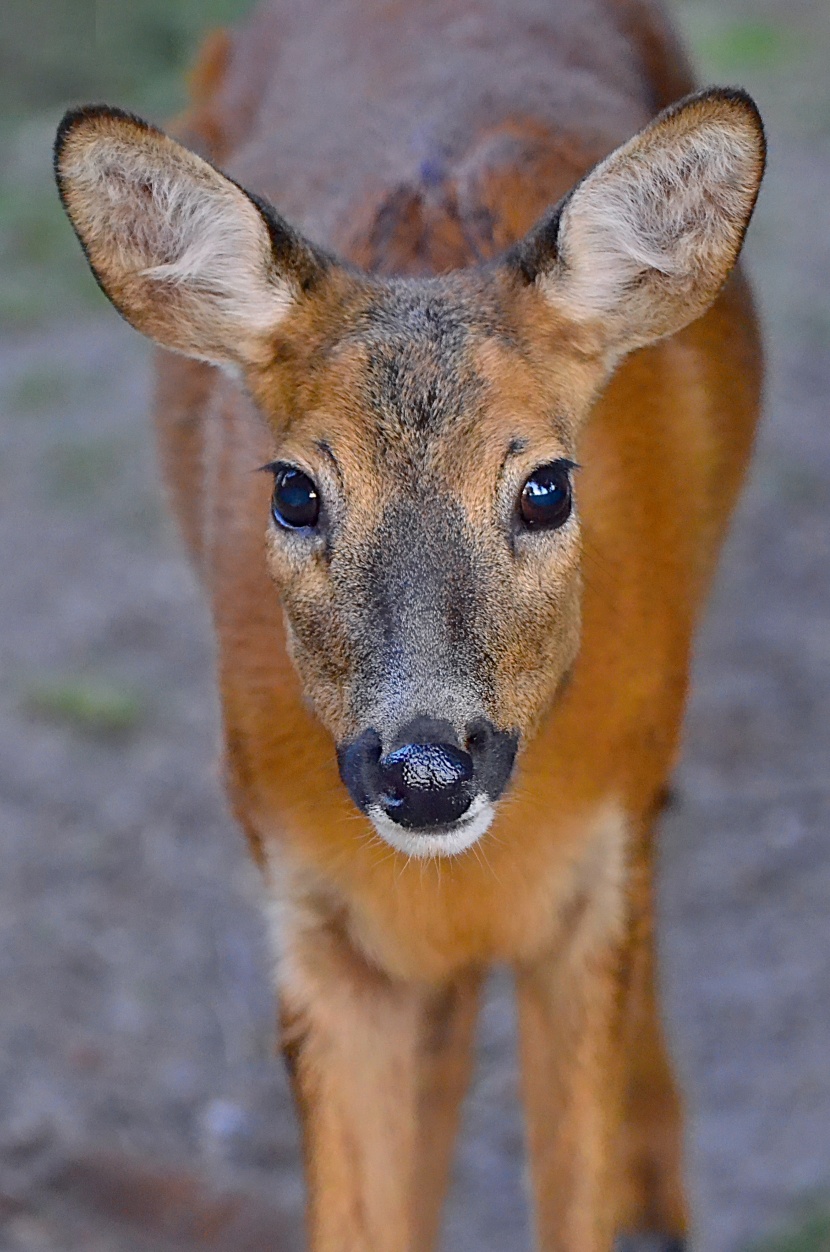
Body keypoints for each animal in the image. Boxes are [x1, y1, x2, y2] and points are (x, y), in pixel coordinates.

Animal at [53, 0, 766, 1246]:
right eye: (295, 490)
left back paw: (655, 1183)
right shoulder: (314, 912)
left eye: (545, 486)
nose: (425, 769)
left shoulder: (589, 882)